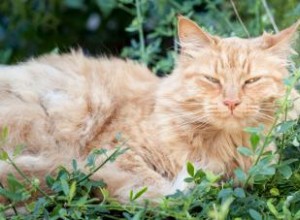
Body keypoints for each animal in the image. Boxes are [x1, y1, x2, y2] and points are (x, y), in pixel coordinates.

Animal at [0, 16, 300, 203]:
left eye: (252, 81)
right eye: (212, 80)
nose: (231, 102)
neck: (222, 146)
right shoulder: (113, 152)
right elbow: (153, 186)